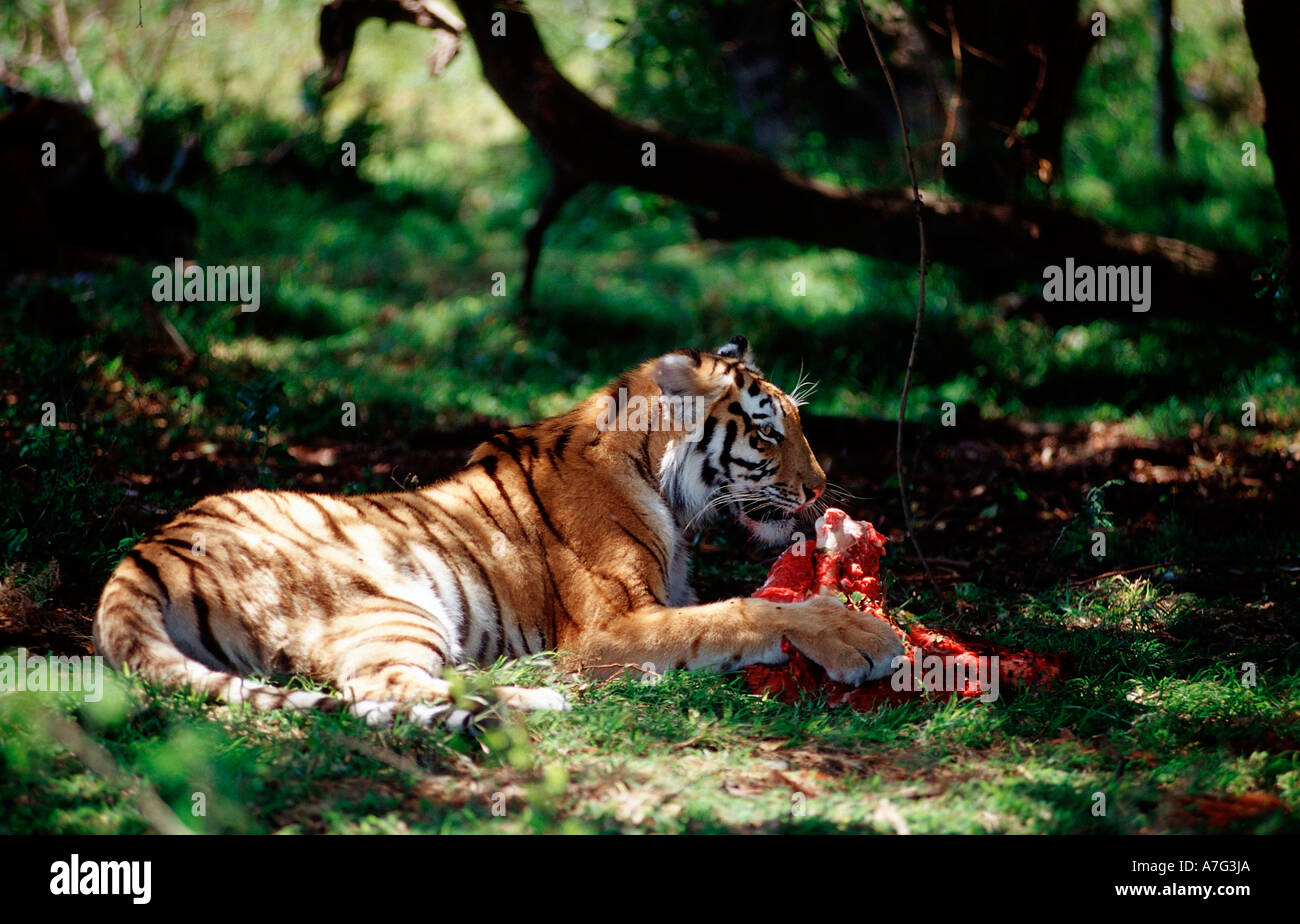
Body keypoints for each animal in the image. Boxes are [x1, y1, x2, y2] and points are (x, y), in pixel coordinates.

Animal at [94, 340, 904, 727]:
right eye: (767, 432)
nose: (820, 488)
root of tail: (146, 553)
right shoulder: (610, 624)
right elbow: (745, 612)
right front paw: (861, 634)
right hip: (389, 606)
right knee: (382, 693)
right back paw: (546, 697)